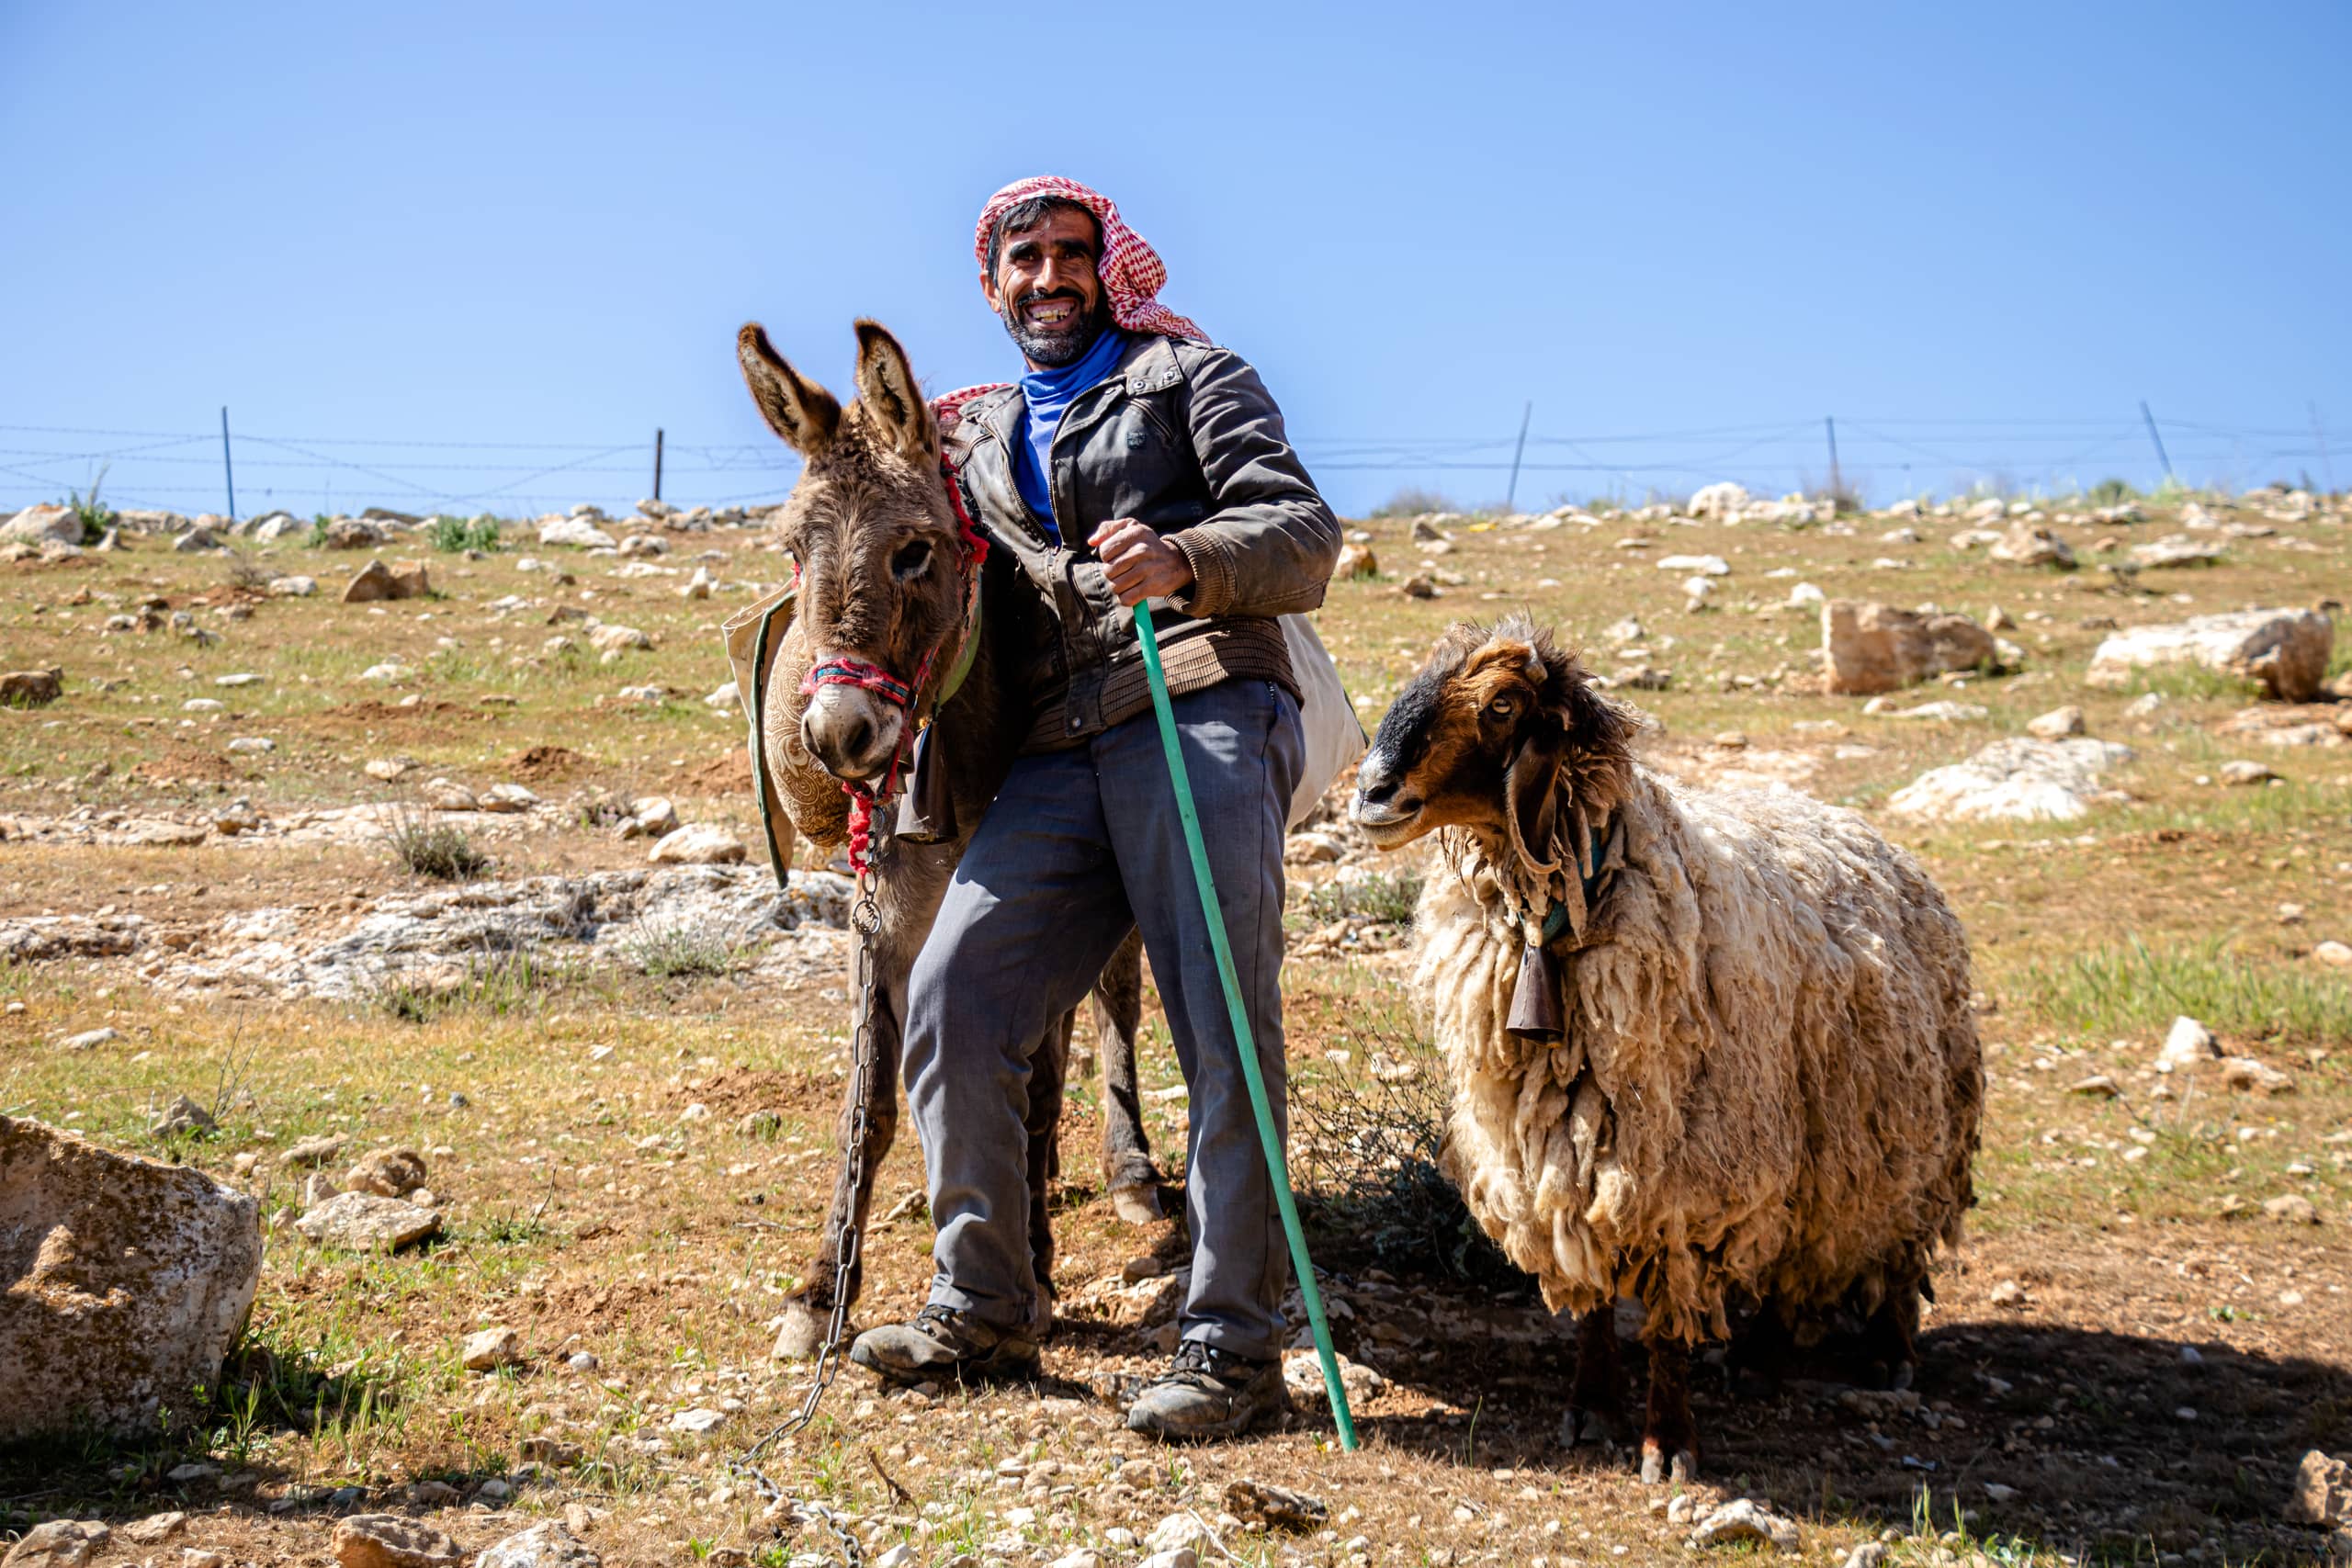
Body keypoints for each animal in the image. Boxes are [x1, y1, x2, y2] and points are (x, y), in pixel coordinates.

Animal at [1349, 616, 1982, 1483]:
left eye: (1503, 704)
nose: (1370, 793)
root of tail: (1874, 835)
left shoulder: (1688, 1173)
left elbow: (1669, 1318)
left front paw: (1669, 1441)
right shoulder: (1558, 1160)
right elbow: (1590, 1299)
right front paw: (1591, 1408)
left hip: (1904, 1139)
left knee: (1898, 1243)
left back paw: (1889, 1352)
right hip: (1805, 1146)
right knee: (1785, 1251)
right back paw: (1757, 1356)